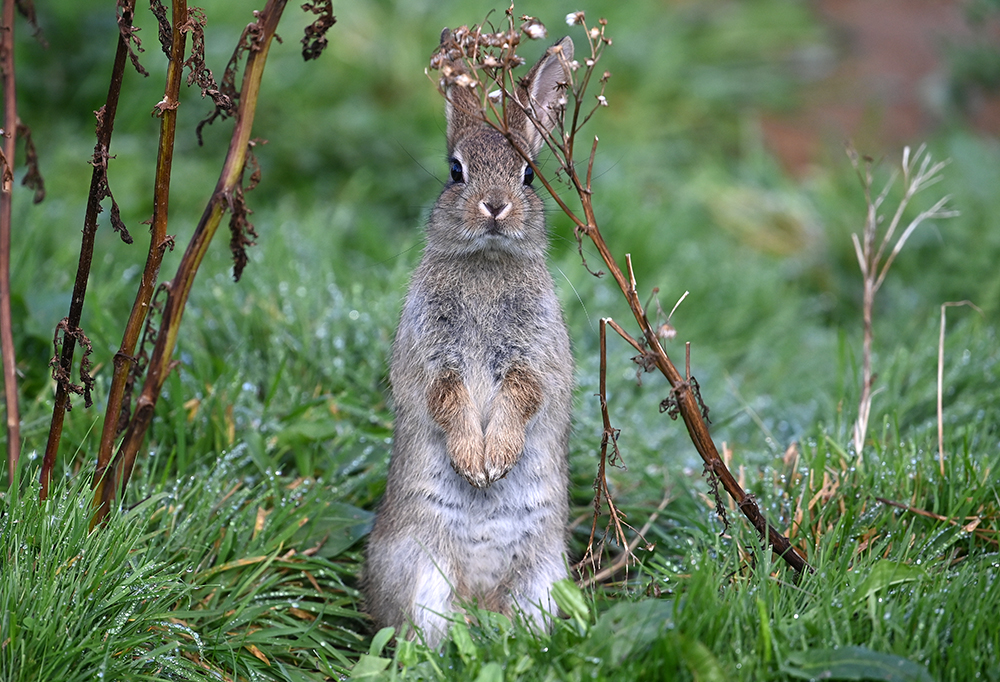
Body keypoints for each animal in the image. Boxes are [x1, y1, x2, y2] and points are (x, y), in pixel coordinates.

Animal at [363, 35, 576, 648]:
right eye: (456, 171)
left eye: (528, 175)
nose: (495, 205)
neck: (486, 263)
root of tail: (480, 600)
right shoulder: (432, 352)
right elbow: (445, 396)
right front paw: (474, 463)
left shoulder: (535, 355)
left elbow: (524, 394)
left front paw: (494, 462)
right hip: (421, 571)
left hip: (543, 576)